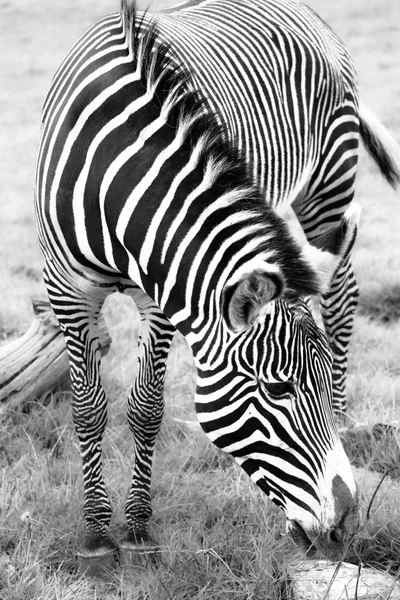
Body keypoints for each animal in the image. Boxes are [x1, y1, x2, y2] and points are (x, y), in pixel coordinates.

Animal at [32, 0, 362, 576]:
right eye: (279, 389)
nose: (344, 526)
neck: (119, 182)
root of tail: (301, 9)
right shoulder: (66, 291)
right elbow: (88, 408)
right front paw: (96, 537)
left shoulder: (161, 299)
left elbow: (146, 408)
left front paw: (137, 533)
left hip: (329, 189)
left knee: (340, 299)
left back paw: (344, 410)